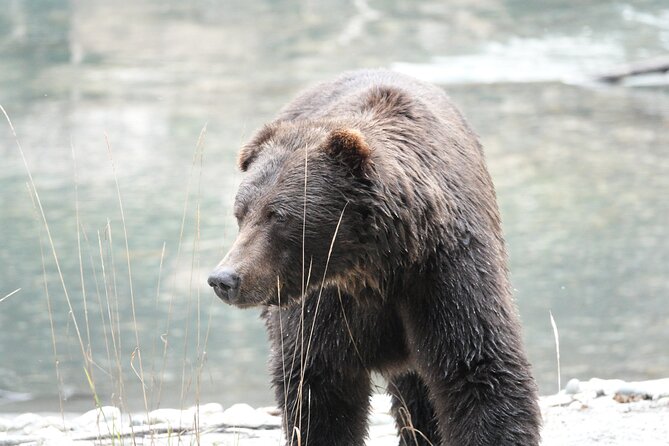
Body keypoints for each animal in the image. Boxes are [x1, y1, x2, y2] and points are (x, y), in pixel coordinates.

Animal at [206, 70, 540, 446]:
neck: (377, 266)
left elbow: (477, 368)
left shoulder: (444, 269)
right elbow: (319, 386)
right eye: (241, 213)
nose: (225, 279)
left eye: (278, 216)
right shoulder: (326, 302)